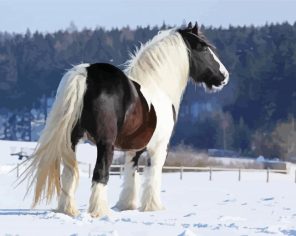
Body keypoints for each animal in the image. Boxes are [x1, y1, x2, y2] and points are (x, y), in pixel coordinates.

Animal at [24, 22, 230, 218]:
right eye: (204, 48)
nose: (224, 76)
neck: (158, 86)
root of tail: (87, 73)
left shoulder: (134, 148)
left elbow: (131, 173)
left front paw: (127, 206)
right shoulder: (159, 148)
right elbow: (152, 174)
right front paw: (153, 207)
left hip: (72, 140)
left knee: (68, 173)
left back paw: (68, 210)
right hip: (105, 144)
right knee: (100, 173)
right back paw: (100, 212)